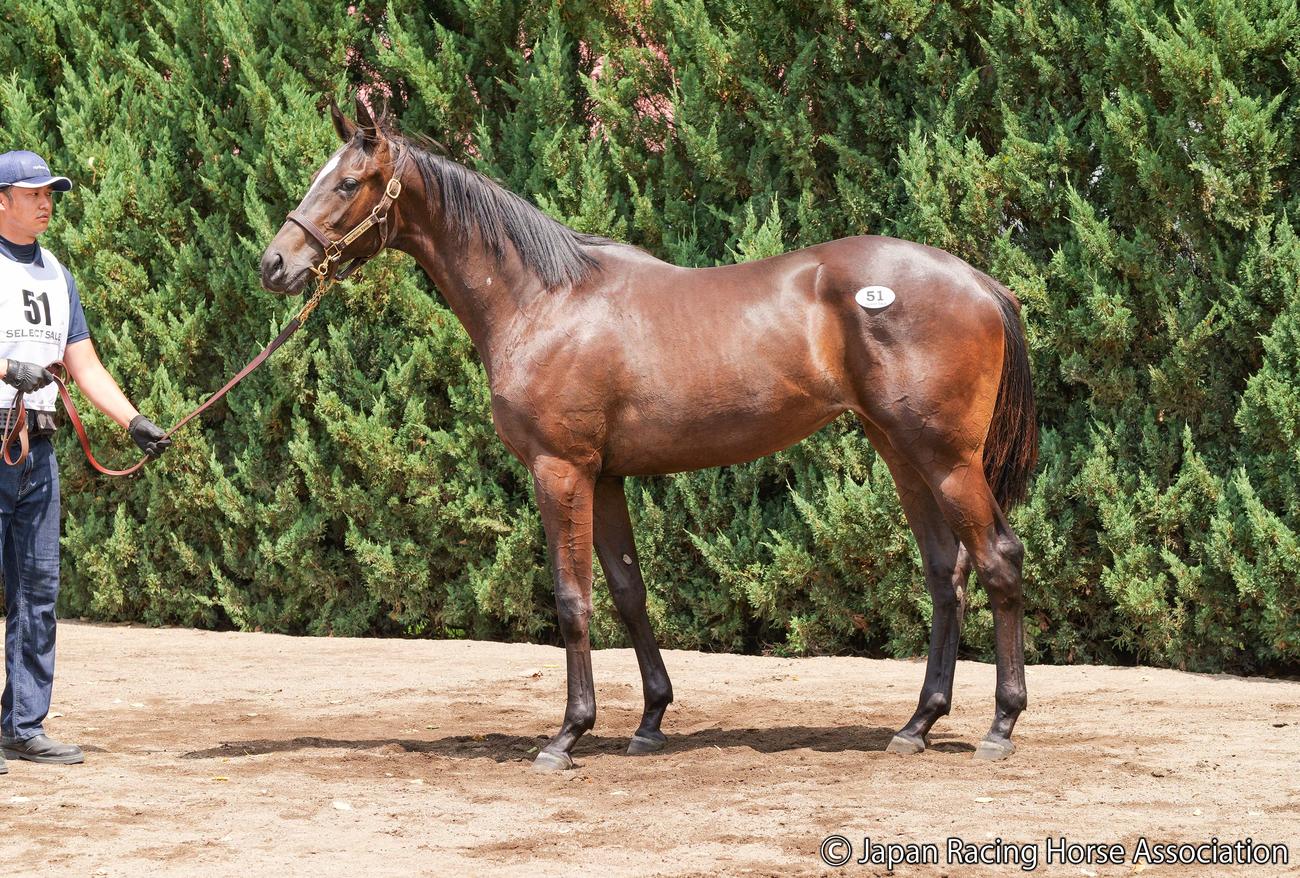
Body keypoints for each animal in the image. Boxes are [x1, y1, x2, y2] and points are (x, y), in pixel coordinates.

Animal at [259, 98, 1038, 770]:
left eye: (348, 183)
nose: (275, 265)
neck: (544, 301)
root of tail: (980, 282)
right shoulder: (604, 476)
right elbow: (630, 593)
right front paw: (650, 721)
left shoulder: (560, 469)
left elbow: (573, 599)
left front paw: (567, 736)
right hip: (902, 453)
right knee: (944, 572)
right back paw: (917, 724)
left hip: (946, 459)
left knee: (997, 559)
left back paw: (1001, 726)